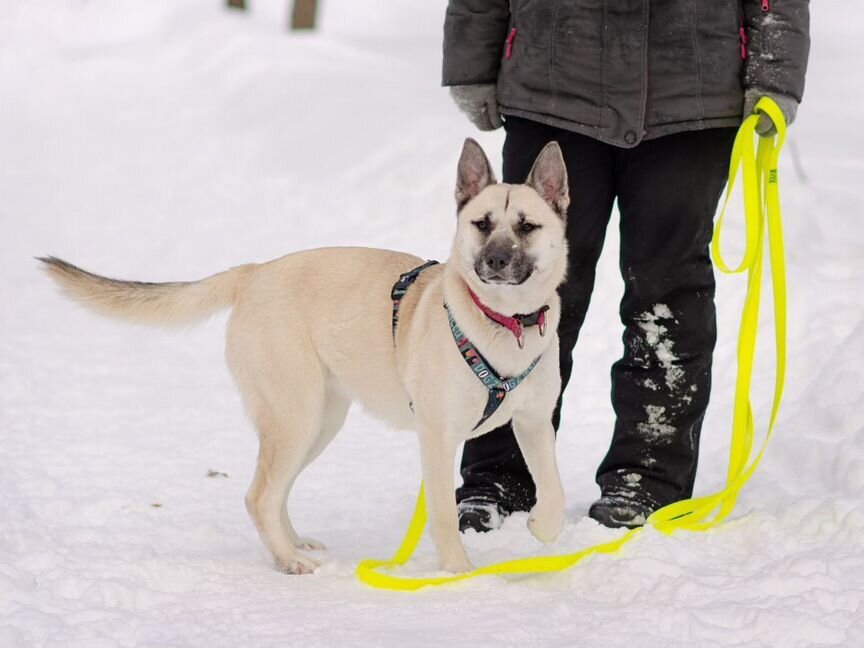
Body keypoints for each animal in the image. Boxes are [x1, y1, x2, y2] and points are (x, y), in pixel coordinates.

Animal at [40, 139, 572, 576]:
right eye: (481, 224)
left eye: (527, 226)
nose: (495, 262)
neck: (503, 323)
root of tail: (253, 273)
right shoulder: (437, 436)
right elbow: (441, 512)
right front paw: (460, 574)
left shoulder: (534, 423)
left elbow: (554, 488)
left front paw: (541, 529)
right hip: (296, 417)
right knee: (258, 495)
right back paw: (288, 559)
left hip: (318, 421)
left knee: (274, 492)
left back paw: (291, 544)